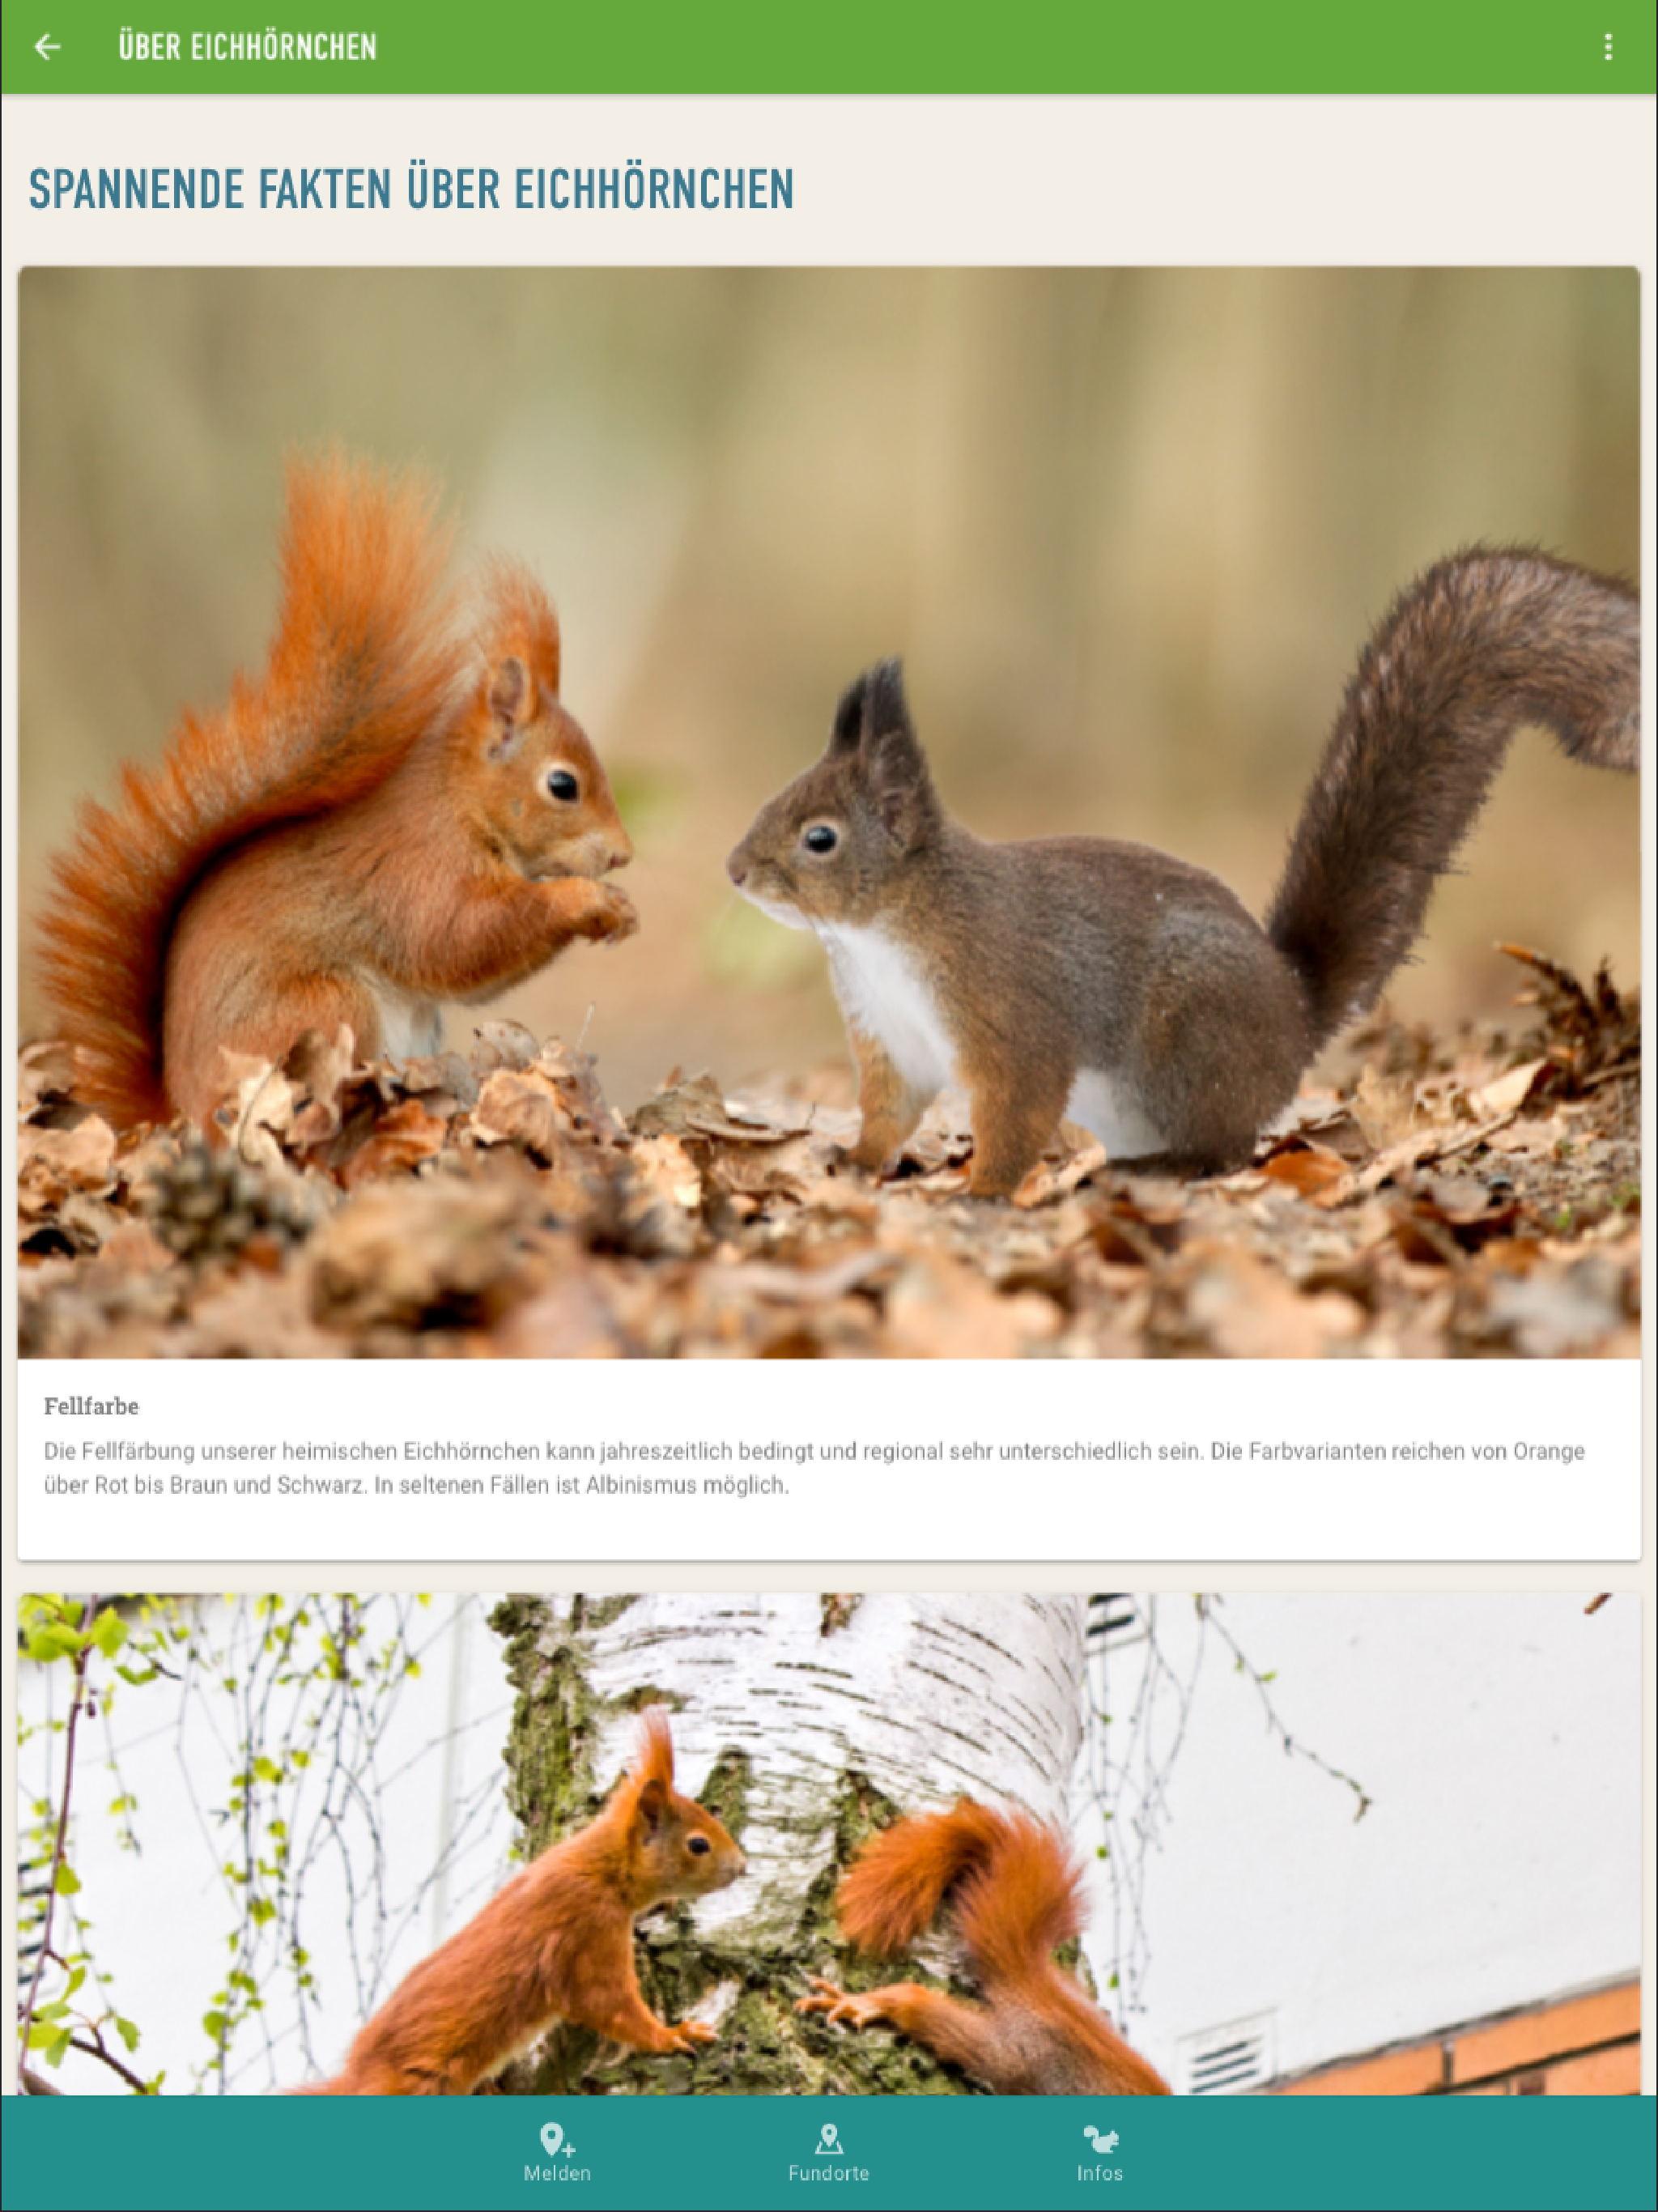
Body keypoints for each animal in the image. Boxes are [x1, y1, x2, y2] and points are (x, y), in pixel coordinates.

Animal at [36, 450, 638, 1130]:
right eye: (562, 785)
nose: (623, 855)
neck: (459, 804)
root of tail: (177, 1110)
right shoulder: (419, 869)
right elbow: (462, 937)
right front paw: (588, 901)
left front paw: (619, 906)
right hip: (325, 1008)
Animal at [299, 1707, 745, 2095]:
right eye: (698, 1844)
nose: (742, 1866)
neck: (602, 1869)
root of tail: (358, 2078)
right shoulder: (587, 1930)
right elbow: (607, 2004)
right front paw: (674, 2034)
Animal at [727, 550, 1640, 1196]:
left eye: (819, 837)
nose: (734, 872)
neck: (885, 931)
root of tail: (1291, 1019)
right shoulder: (892, 1040)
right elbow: (889, 1115)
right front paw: (853, 1162)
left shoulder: (1010, 1014)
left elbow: (1018, 1106)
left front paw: (979, 1190)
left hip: (1190, 1040)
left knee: (1229, 1147)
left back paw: (1161, 1168)